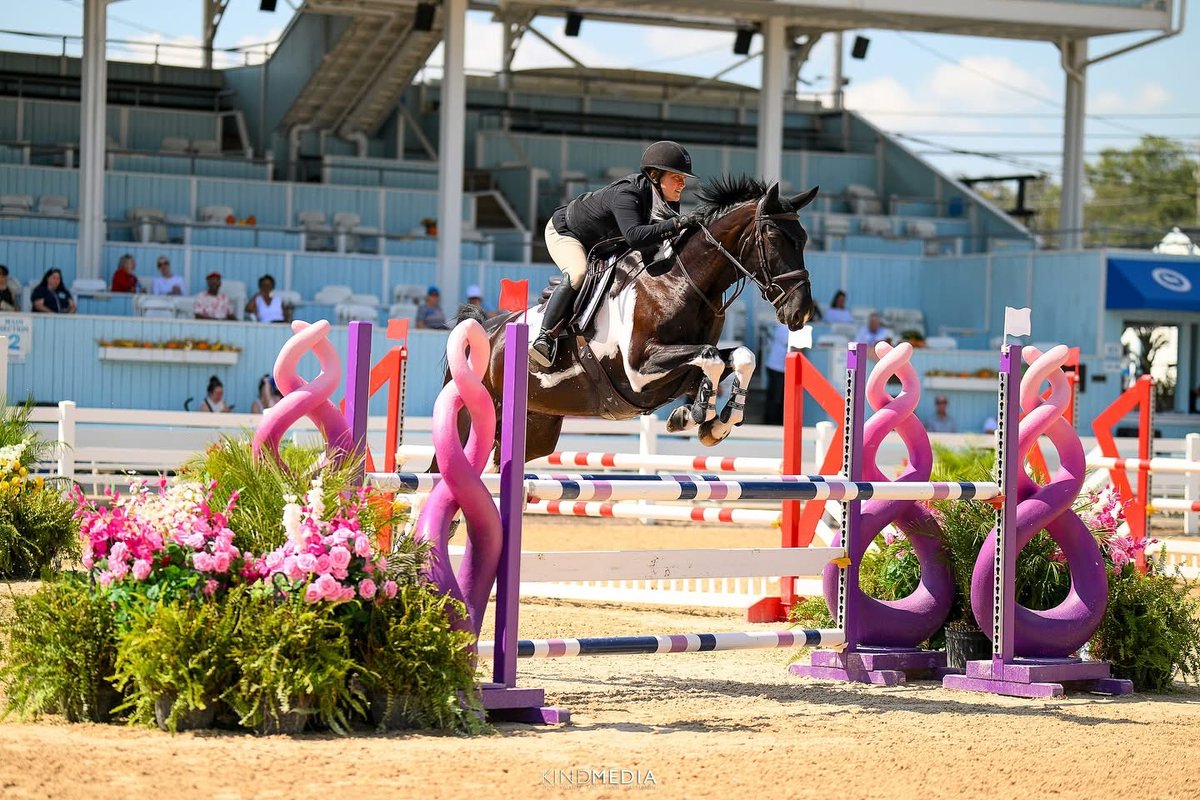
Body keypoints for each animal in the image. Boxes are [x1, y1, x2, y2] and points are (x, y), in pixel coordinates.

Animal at [455, 176, 818, 465]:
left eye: (804, 238)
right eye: (773, 237)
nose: (800, 312)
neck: (681, 281)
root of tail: (488, 328)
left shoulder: (682, 366)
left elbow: (740, 357)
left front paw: (710, 421)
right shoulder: (639, 371)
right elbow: (711, 358)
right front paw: (700, 414)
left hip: (536, 428)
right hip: (472, 420)